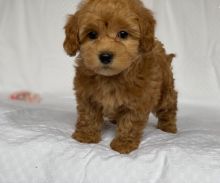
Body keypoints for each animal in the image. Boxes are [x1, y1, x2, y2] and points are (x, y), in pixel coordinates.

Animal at [63, 0, 177, 154]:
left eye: (123, 34)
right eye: (92, 34)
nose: (105, 56)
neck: (110, 78)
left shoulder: (138, 100)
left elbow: (130, 122)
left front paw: (124, 143)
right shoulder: (87, 95)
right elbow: (88, 115)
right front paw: (86, 135)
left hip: (165, 90)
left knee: (168, 107)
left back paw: (169, 127)